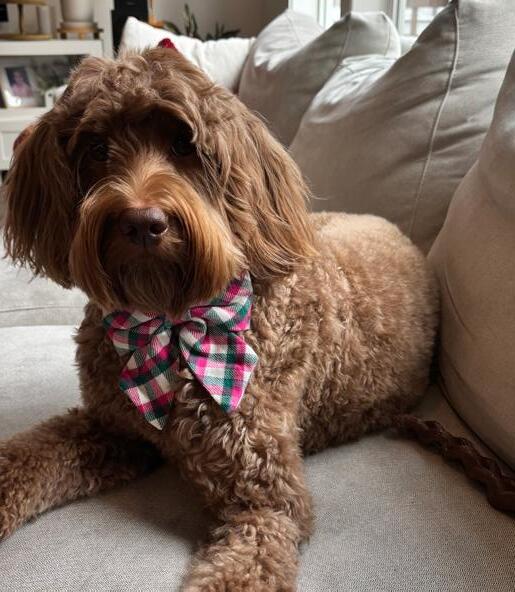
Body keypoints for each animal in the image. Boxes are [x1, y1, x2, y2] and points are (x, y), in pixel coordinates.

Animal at [1, 47, 438, 591]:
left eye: (183, 144)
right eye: (97, 148)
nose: (141, 222)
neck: (168, 322)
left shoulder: (266, 503)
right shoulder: (111, 429)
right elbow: (26, 455)